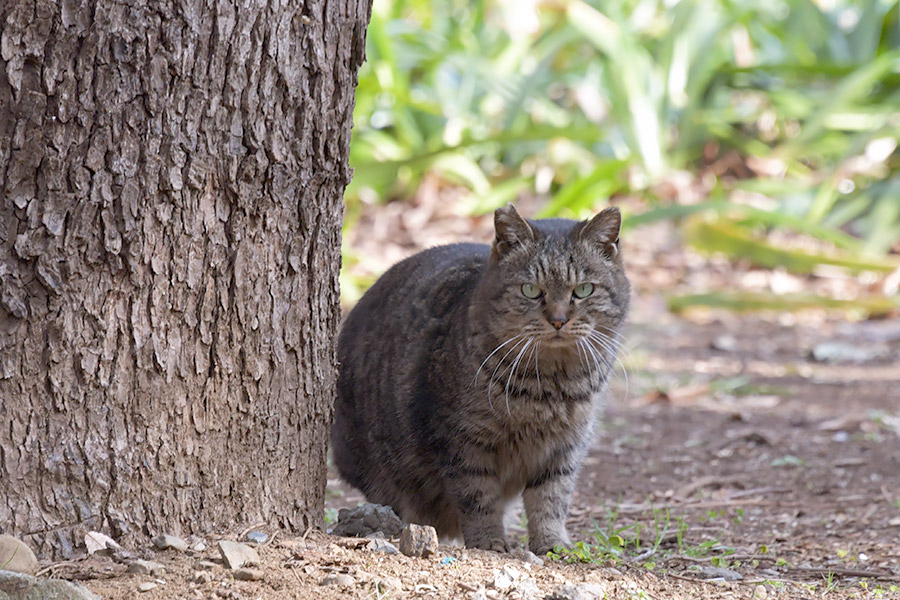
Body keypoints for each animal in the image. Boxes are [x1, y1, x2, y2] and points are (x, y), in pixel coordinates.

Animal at [332, 205, 632, 552]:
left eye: (583, 290)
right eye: (531, 290)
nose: (558, 320)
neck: (549, 385)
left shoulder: (565, 448)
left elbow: (551, 499)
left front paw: (552, 542)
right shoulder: (465, 441)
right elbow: (478, 497)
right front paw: (489, 541)